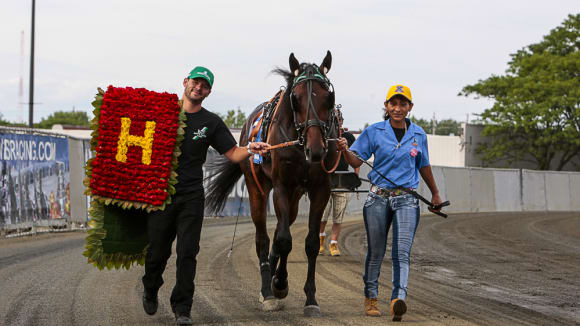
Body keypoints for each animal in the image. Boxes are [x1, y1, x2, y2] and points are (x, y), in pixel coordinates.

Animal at [205, 51, 338, 316]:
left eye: (329, 98)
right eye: (296, 98)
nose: (316, 150)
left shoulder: (320, 190)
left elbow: (308, 243)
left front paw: (310, 299)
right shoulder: (281, 187)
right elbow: (284, 240)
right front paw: (278, 284)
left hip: (295, 197)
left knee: (278, 233)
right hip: (257, 188)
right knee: (263, 238)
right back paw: (267, 290)